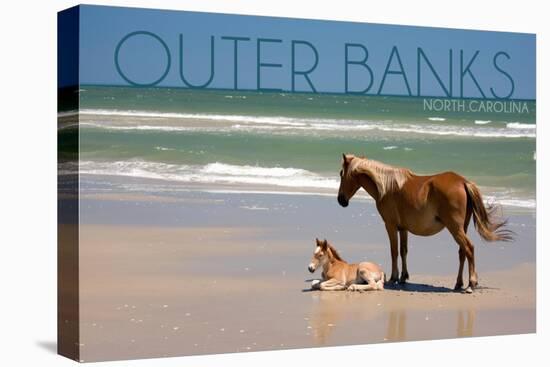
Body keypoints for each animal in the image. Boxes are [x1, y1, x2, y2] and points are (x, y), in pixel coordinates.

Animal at [338, 154, 516, 294]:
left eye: (341, 174)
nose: (341, 200)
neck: (387, 187)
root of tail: (463, 182)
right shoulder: (403, 229)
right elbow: (403, 251)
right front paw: (403, 277)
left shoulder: (390, 225)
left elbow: (394, 251)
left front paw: (393, 277)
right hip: (461, 228)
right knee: (462, 252)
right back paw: (458, 283)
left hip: (455, 228)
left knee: (469, 249)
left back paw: (470, 284)